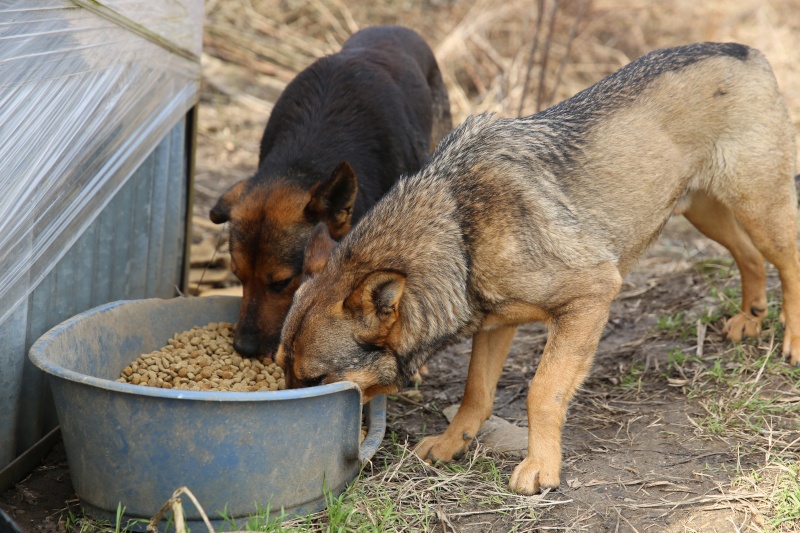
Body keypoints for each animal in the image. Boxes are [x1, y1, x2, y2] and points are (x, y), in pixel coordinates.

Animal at [276, 42, 800, 494]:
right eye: (282, 370)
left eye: (317, 381)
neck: (459, 233)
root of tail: (744, 49)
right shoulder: (494, 325)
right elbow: (475, 393)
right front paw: (450, 445)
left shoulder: (591, 296)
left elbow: (541, 392)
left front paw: (541, 468)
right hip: (705, 211)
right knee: (750, 257)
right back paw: (749, 318)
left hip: (758, 208)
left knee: (789, 259)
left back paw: (792, 340)